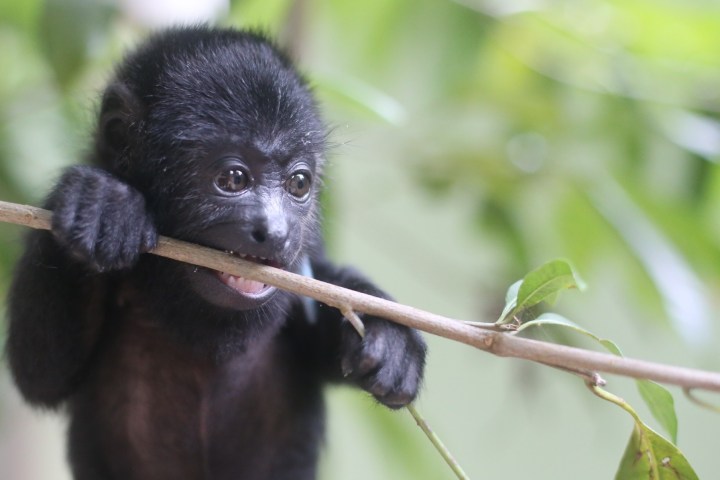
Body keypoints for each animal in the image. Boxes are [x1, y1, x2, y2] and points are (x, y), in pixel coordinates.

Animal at [4, 26, 426, 480]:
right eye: (233, 178)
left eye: (298, 184)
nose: (276, 232)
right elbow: (40, 373)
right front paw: (98, 205)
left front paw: (390, 336)